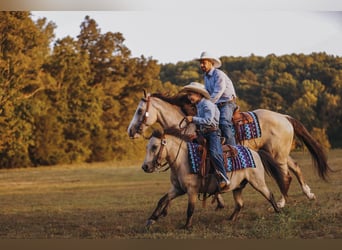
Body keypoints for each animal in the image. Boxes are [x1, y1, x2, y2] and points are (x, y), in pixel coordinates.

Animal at [127, 92, 330, 207]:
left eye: (139, 111)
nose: (130, 131)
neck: (189, 125)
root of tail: (284, 117)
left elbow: (214, 170)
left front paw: (219, 199)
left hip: (278, 154)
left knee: (286, 175)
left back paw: (281, 202)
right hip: (279, 153)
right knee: (295, 168)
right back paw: (309, 194)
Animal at [142, 130, 286, 229]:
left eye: (154, 147)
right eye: (147, 147)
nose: (145, 167)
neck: (182, 160)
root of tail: (255, 153)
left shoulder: (192, 190)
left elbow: (190, 209)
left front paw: (186, 226)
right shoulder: (178, 189)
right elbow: (162, 200)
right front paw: (151, 219)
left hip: (257, 182)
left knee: (269, 195)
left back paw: (278, 212)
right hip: (238, 186)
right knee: (240, 204)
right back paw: (230, 219)